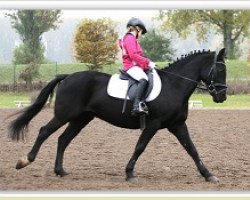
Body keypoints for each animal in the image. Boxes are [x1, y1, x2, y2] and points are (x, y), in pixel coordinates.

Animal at [8, 47, 227, 182]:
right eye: (219, 70)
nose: (222, 96)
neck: (174, 85)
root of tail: (67, 77)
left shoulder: (177, 124)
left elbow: (192, 149)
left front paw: (208, 174)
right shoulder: (153, 124)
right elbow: (140, 147)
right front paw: (129, 173)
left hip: (81, 119)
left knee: (63, 139)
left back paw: (60, 171)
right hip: (65, 115)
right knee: (44, 131)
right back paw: (24, 161)